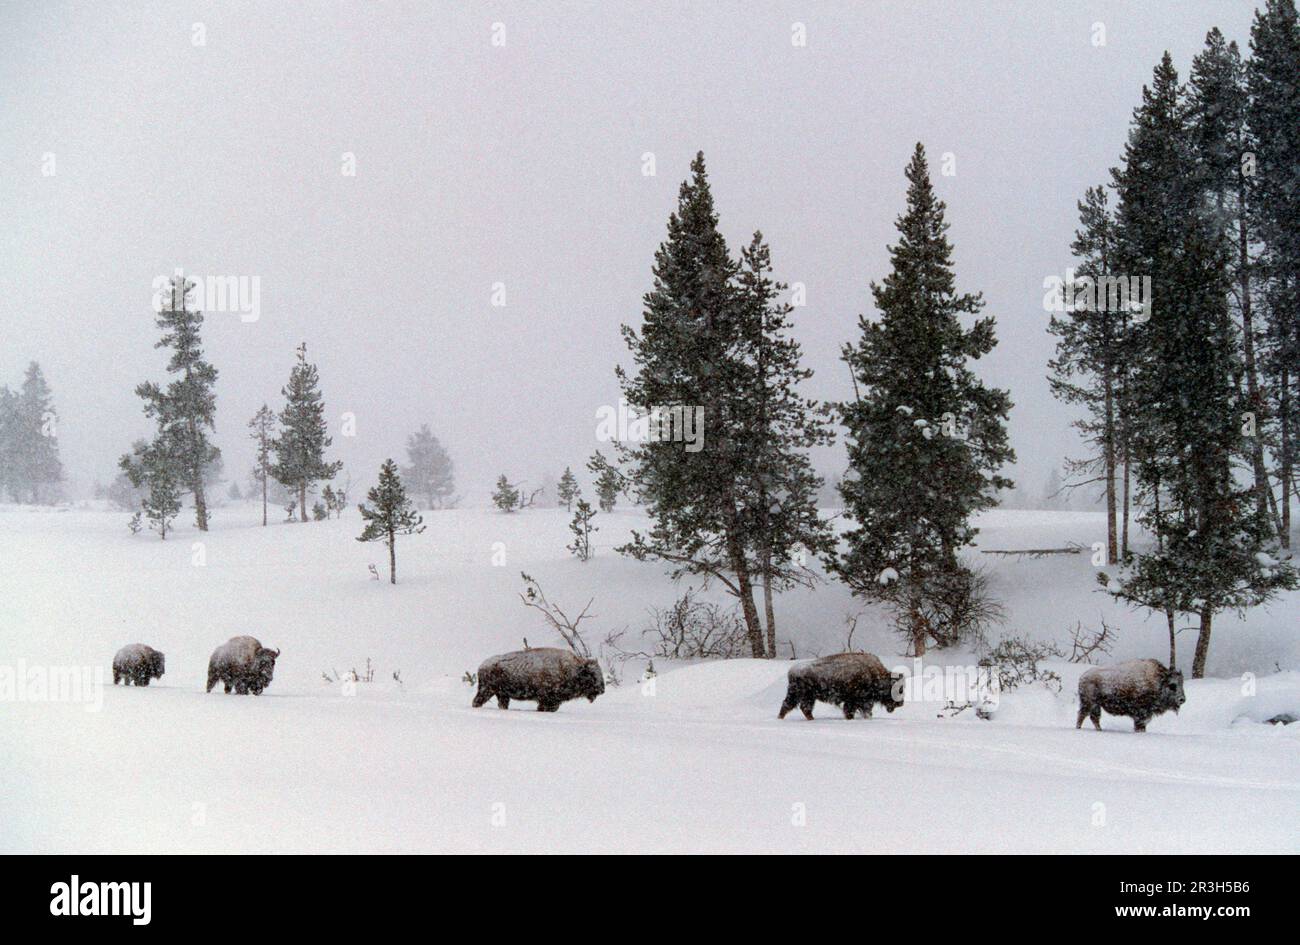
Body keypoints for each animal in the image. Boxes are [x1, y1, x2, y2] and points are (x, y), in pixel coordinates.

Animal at [473, 647, 603, 712]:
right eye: (591, 674)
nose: (602, 689)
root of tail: (482, 665)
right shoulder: (546, 699)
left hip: (501, 694)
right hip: (487, 690)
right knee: (477, 701)